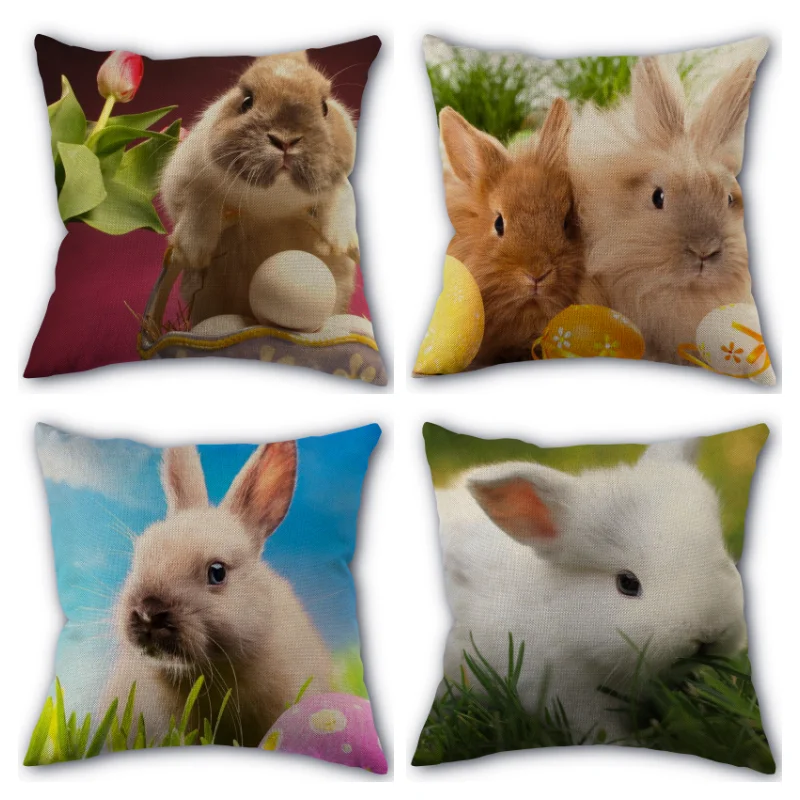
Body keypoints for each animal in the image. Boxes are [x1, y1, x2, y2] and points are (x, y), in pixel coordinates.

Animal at [160, 51, 360, 326]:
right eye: (246, 102)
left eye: (325, 107)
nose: (285, 139)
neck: (272, 202)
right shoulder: (183, 176)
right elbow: (196, 203)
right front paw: (193, 252)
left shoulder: (339, 184)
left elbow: (342, 201)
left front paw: (337, 244)